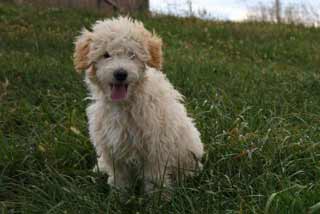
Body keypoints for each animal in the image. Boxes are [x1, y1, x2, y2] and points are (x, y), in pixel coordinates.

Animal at [74, 15, 204, 191]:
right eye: (106, 55)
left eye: (132, 55)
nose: (120, 73)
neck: (124, 104)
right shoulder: (112, 147)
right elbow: (119, 176)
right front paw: (119, 194)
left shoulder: (155, 147)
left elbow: (154, 177)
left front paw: (156, 197)